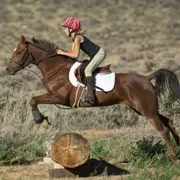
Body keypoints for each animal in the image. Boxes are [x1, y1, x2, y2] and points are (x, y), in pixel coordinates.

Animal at [6, 34, 179, 160]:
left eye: (19, 52)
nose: (8, 69)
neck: (56, 69)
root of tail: (146, 78)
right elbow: (33, 99)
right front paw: (41, 119)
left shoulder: (59, 97)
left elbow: (33, 100)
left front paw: (39, 119)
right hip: (143, 109)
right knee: (168, 121)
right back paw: (178, 147)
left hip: (146, 110)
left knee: (163, 129)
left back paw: (172, 157)